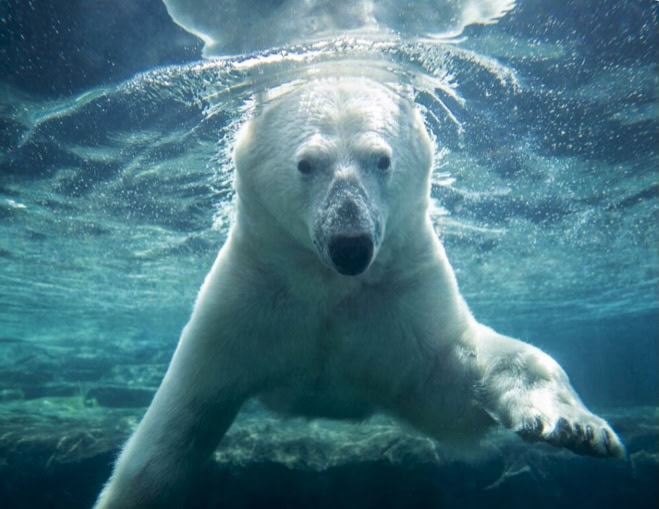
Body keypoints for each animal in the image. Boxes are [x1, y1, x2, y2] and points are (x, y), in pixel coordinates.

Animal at [94, 76, 624, 508]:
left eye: (381, 159)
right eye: (306, 163)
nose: (351, 244)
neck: (331, 288)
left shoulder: (400, 301)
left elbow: (460, 378)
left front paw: (578, 427)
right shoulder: (249, 299)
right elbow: (176, 423)